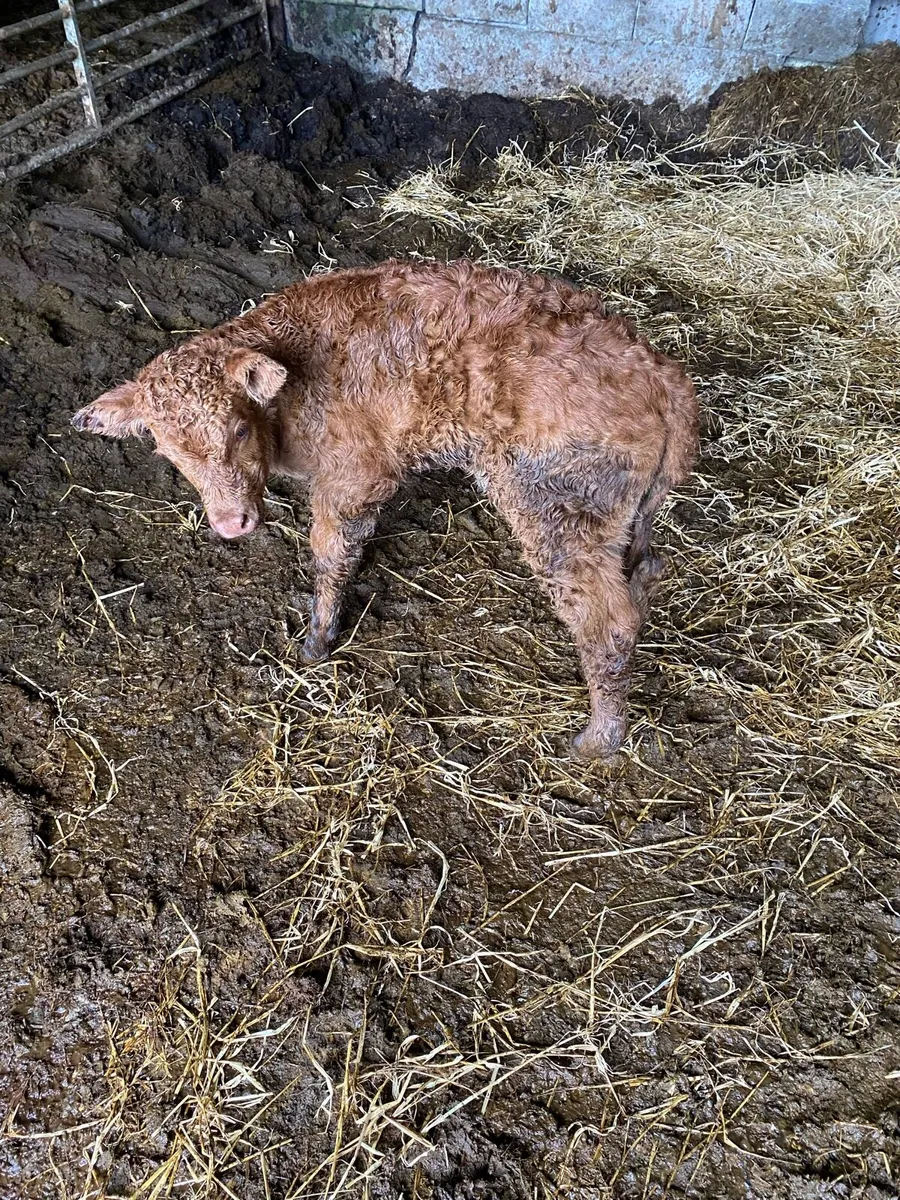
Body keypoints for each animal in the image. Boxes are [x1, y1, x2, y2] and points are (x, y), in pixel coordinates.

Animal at [72, 260, 698, 759]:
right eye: (169, 451)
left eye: (237, 428)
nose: (231, 524)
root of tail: (658, 369)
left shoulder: (355, 473)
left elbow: (330, 552)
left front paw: (317, 642)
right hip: (622, 515)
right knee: (645, 574)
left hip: (556, 505)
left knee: (607, 620)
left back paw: (597, 740)